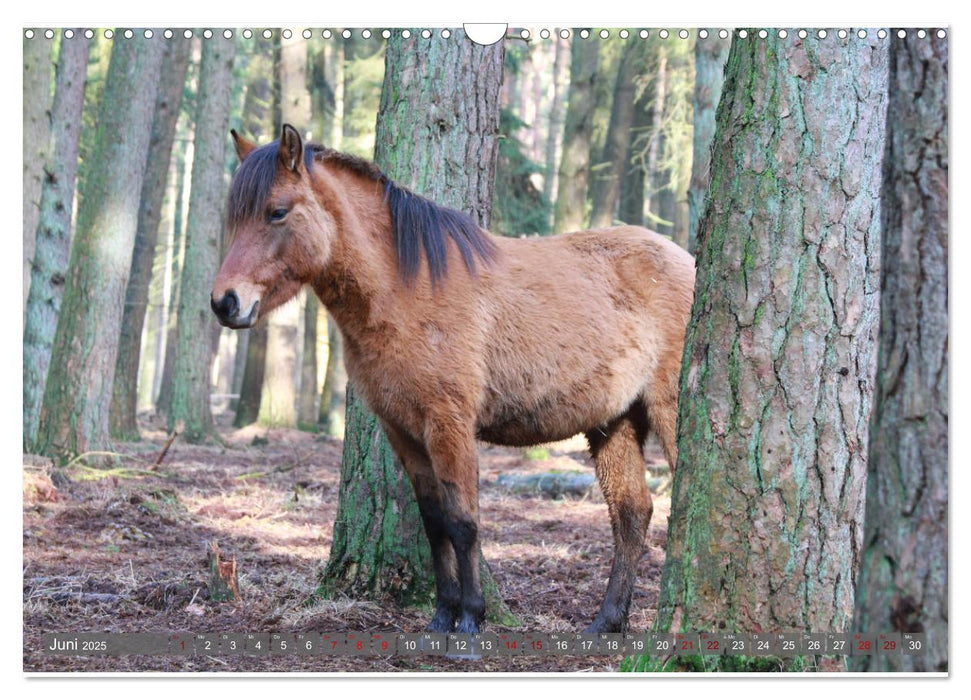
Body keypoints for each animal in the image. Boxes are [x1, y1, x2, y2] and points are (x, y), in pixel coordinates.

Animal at [215, 126, 696, 636]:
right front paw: (442, 613)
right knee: (631, 514)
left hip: (667, 411)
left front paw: (470, 617)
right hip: (614, 423)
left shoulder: (450, 426)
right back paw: (607, 621)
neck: (406, 289)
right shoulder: (403, 431)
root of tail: (684, 259)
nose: (225, 302)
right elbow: (434, 524)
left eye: (277, 212)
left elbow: (464, 523)